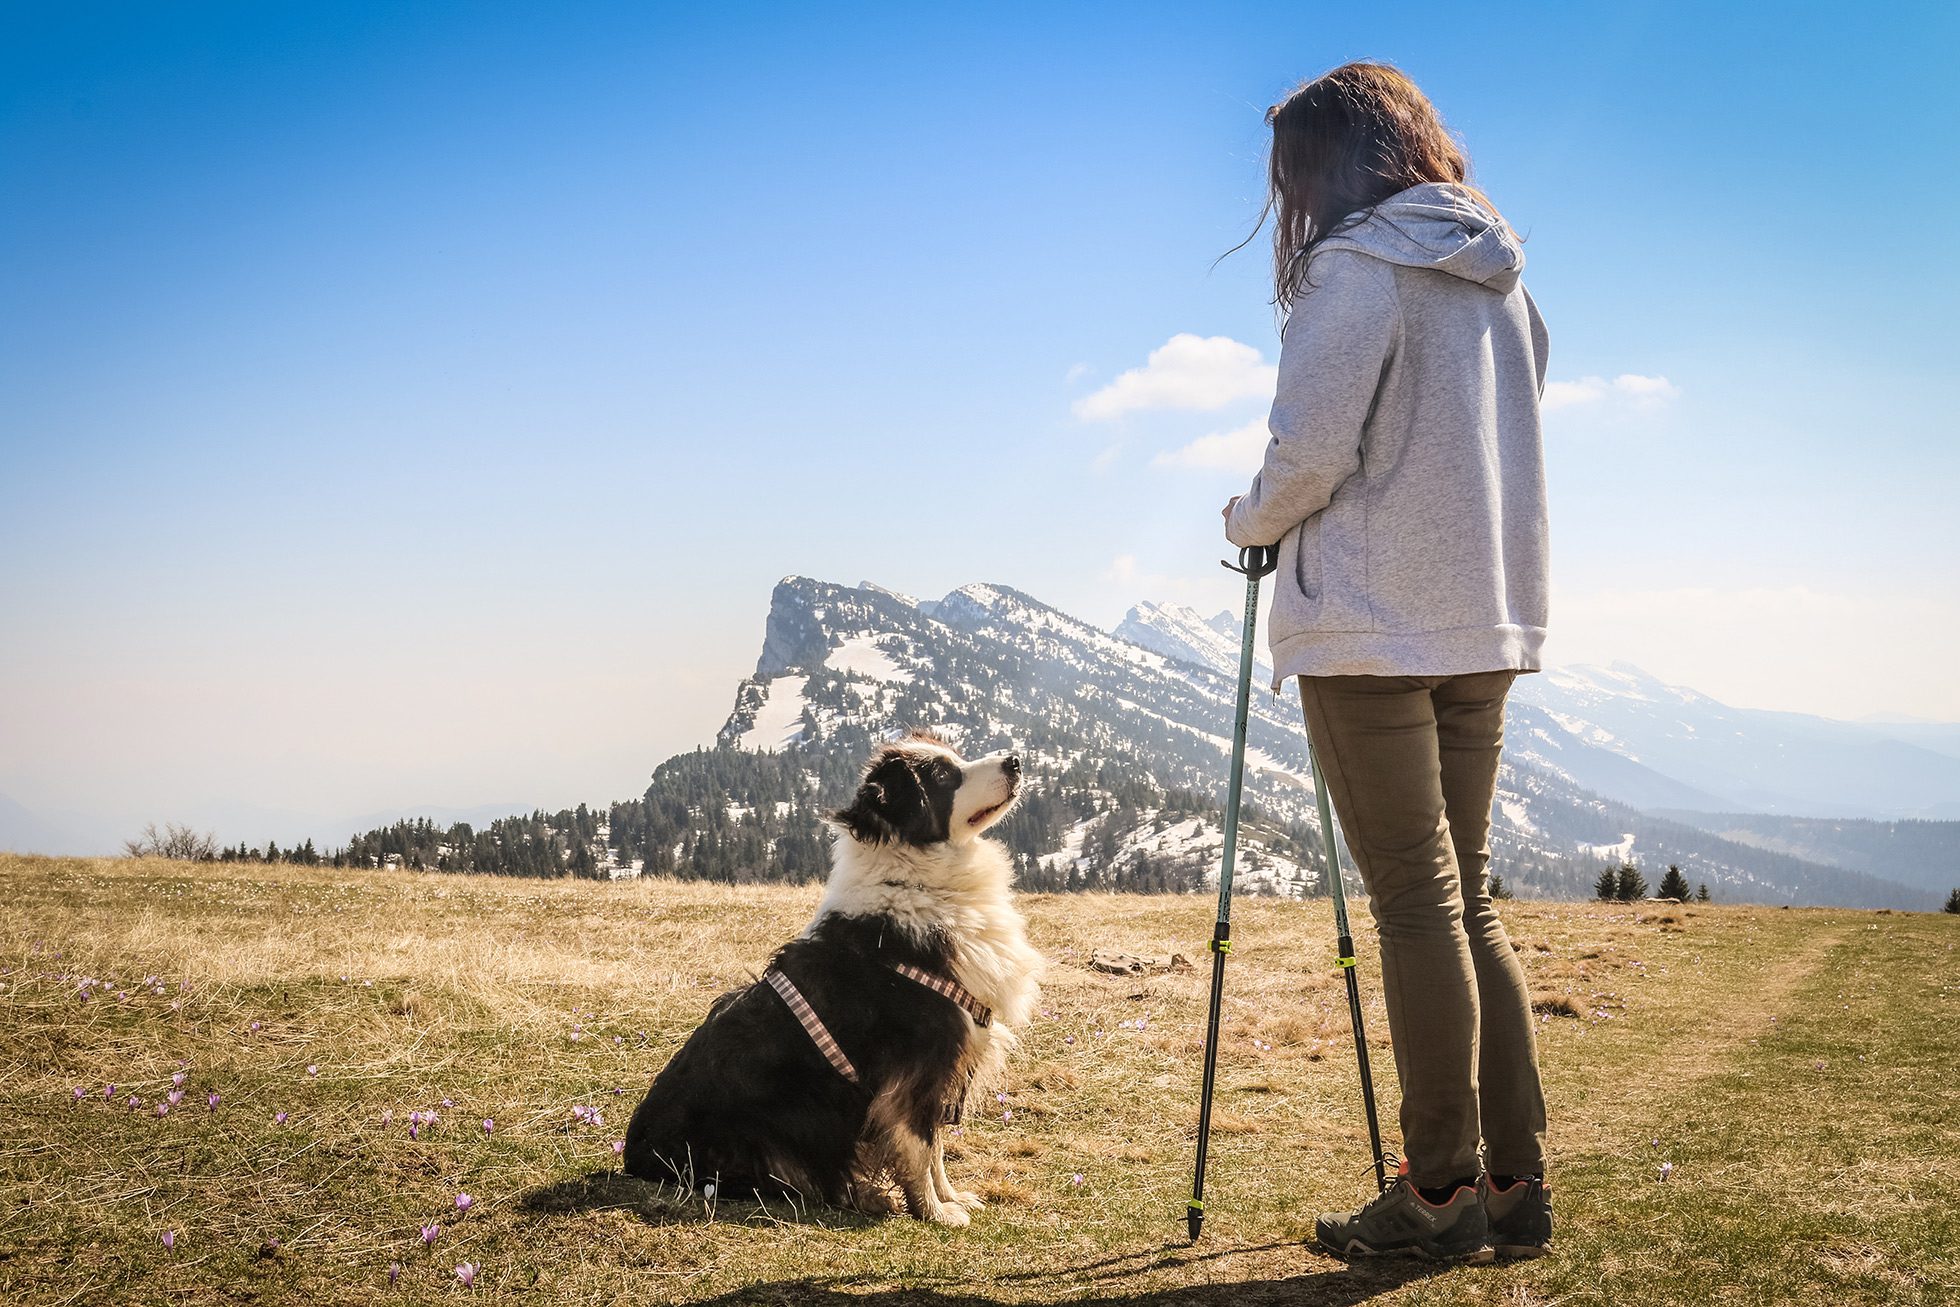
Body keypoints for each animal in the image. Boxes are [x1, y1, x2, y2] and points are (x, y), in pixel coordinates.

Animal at [627, 732, 1042, 1222]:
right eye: (943, 776)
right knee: (797, 1179)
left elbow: (936, 1146)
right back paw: (866, 1194)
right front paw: (935, 1212)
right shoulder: (920, 1063)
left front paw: (951, 1197)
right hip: (770, 1130)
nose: (1015, 761)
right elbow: (920, 1144)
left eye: (956, 756)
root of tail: (634, 1154)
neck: (914, 883)